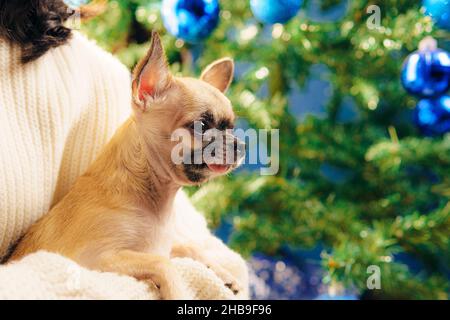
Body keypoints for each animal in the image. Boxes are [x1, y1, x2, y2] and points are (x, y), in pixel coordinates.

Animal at [8, 31, 246, 300]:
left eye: (232, 128)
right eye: (202, 126)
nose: (240, 145)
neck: (153, 196)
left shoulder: (162, 245)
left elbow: (189, 247)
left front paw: (223, 273)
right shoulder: (97, 258)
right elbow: (162, 263)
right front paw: (179, 292)